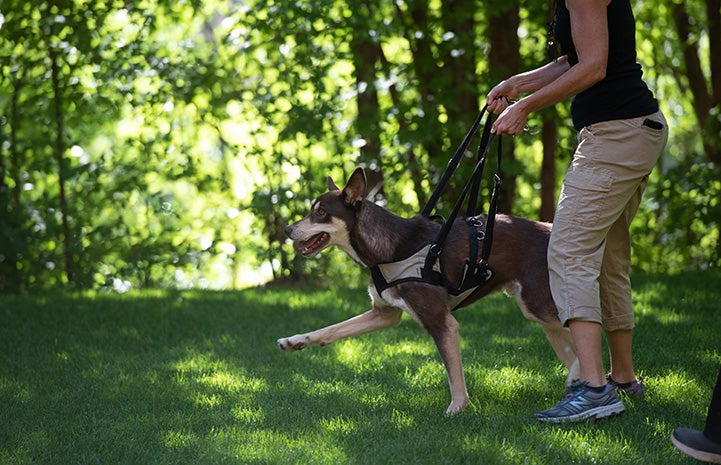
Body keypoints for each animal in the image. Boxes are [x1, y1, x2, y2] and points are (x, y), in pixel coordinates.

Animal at [278, 167, 580, 414]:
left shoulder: (441, 322)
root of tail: (552, 231)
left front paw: (457, 408)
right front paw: (296, 341)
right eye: (311, 210)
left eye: (320, 213)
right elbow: (332, 330)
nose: (287, 229)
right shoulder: (384, 314)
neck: (389, 248)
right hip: (543, 317)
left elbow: (453, 372)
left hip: (538, 304)